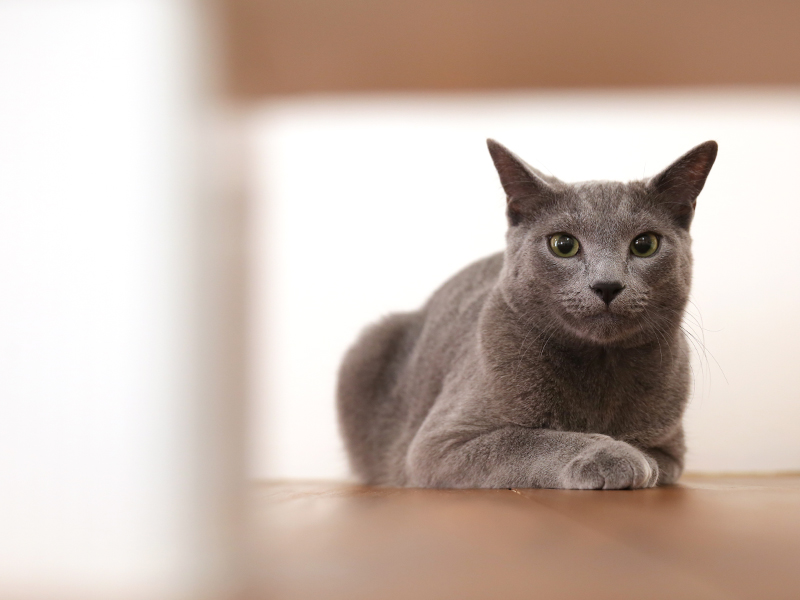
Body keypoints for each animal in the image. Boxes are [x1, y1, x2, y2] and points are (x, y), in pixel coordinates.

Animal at [336, 139, 720, 488]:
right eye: (563, 245)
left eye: (645, 244)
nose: (607, 284)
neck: (599, 366)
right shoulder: (437, 445)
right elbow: (526, 439)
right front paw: (611, 455)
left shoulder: (672, 450)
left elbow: (657, 460)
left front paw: (634, 457)